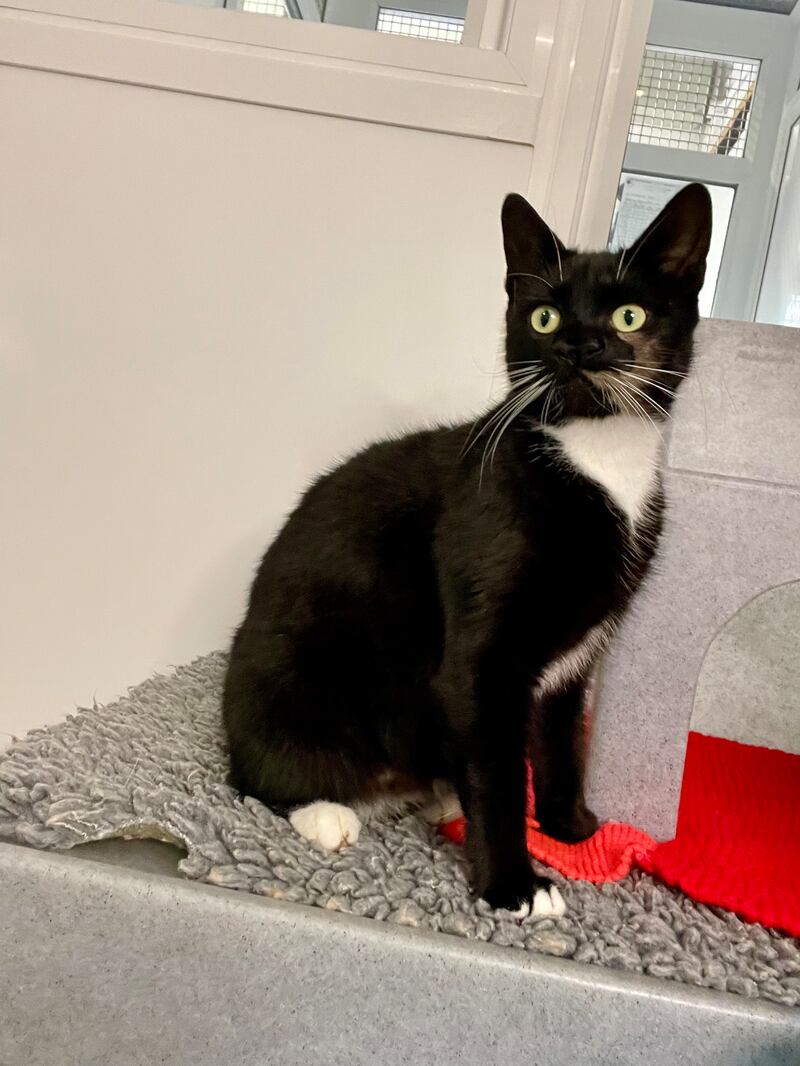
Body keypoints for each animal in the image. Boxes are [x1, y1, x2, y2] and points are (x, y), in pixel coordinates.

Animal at [222, 183, 712, 916]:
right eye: (543, 317)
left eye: (629, 315)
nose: (577, 346)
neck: (596, 461)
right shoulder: (482, 657)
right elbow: (500, 771)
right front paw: (513, 886)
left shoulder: (577, 656)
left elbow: (560, 741)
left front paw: (569, 828)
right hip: (289, 678)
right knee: (253, 778)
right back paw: (328, 811)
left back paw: (442, 794)